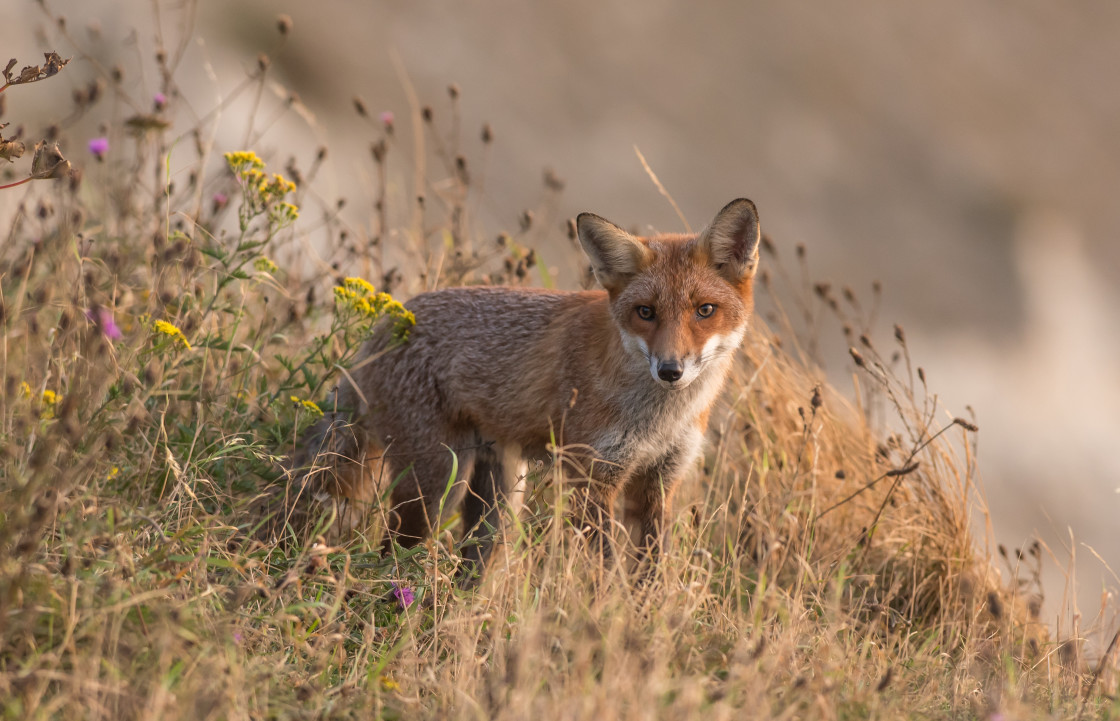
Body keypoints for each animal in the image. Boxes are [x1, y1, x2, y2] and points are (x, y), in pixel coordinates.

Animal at [288, 198, 761, 582]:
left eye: (705, 311)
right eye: (645, 312)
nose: (670, 370)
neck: (659, 419)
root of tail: (387, 322)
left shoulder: (657, 482)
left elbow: (651, 572)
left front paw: (644, 618)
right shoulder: (591, 479)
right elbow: (608, 572)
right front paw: (612, 618)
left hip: (498, 504)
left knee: (468, 566)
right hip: (437, 487)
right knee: (390, 554)